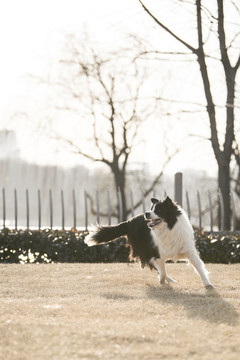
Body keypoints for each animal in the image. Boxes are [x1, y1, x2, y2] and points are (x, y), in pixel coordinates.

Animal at [85, 197, 214, 290]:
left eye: (159, 210)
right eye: (151, 208)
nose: (146, 213)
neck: (169, 227)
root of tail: (128, 222)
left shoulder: (189, 250)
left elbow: (199, 267)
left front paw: (207, 284)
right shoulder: (156, 253)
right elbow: (162, 270)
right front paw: (161, 280)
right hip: (144, 249)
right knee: (150, 264)